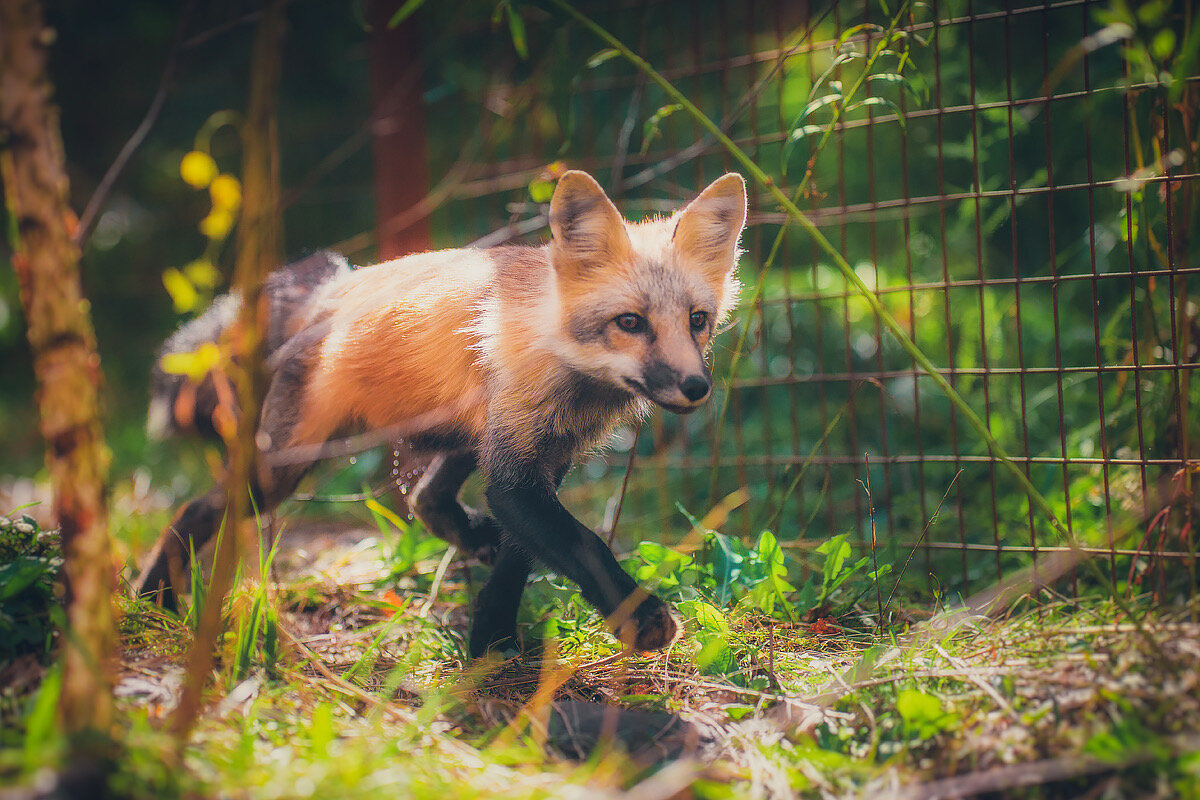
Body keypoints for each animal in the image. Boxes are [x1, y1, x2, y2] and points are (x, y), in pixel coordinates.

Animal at [136, 169, 744, 657]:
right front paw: (639, 616)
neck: (562, 362)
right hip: (282, 469)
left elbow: (520, 558)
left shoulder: (545, 457)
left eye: (697, 320)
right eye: (630, 323)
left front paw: (492, 639)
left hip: (461, 431)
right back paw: (153, 599)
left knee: (426, 497)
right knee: (194, 510)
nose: (696, 387)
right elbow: (584, 544)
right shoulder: (517, 471)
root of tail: (336, 282)